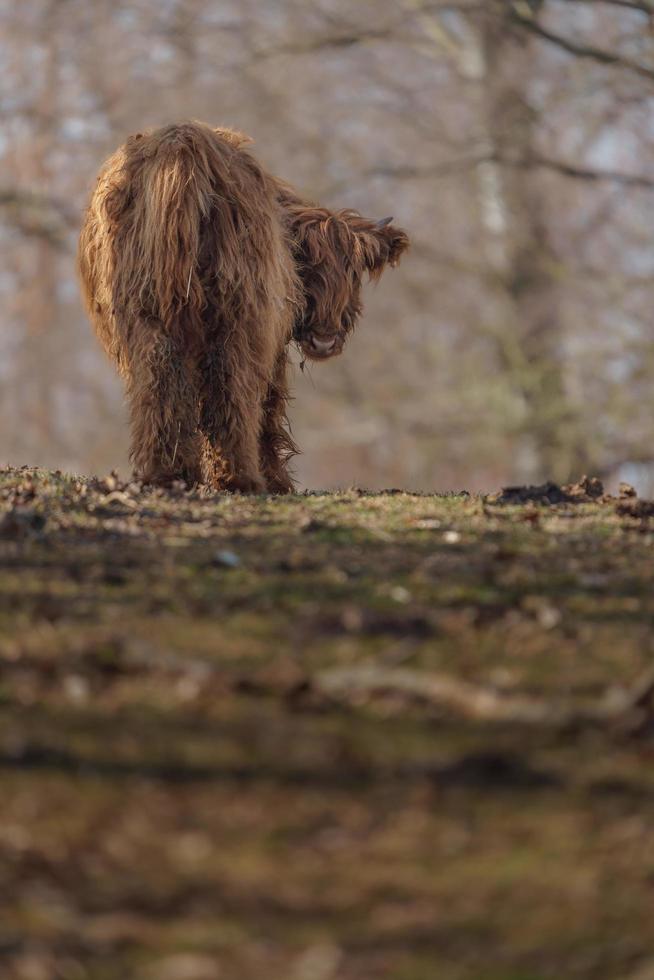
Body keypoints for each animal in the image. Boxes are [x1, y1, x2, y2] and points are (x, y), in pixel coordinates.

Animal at [78, 120, 410, 490]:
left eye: (352, 271)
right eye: (306, 265)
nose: (324, 340)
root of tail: (183, 143)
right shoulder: (272, 340)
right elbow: (269, 404)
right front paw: (277, 480)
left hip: (144, 312)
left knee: (158, 380)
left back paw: (169, 474)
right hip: (240, 315)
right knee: (232, 388)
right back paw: (240, 477)